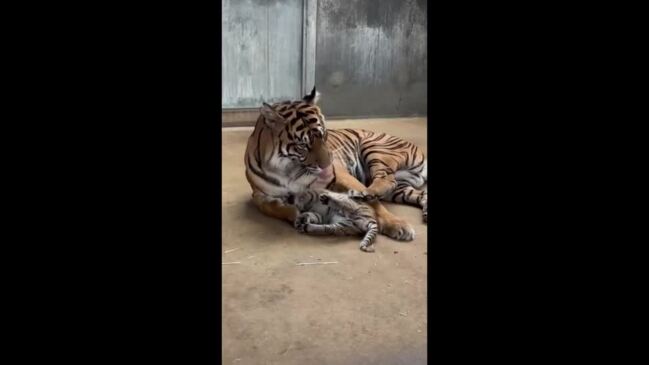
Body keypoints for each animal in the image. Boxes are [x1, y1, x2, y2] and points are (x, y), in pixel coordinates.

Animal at [243, 86, 426, 240]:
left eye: (324, 135)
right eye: (302, 145)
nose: (326, 166)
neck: (287, 169)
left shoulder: (341, 176)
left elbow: (374, 205)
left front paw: (397, 225)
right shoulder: (259, 196)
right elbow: (276, 208)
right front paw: (298, 214)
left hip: (375, 148)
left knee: (385, 180)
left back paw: (368, 192)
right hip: (401, 187)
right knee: (419, 193)